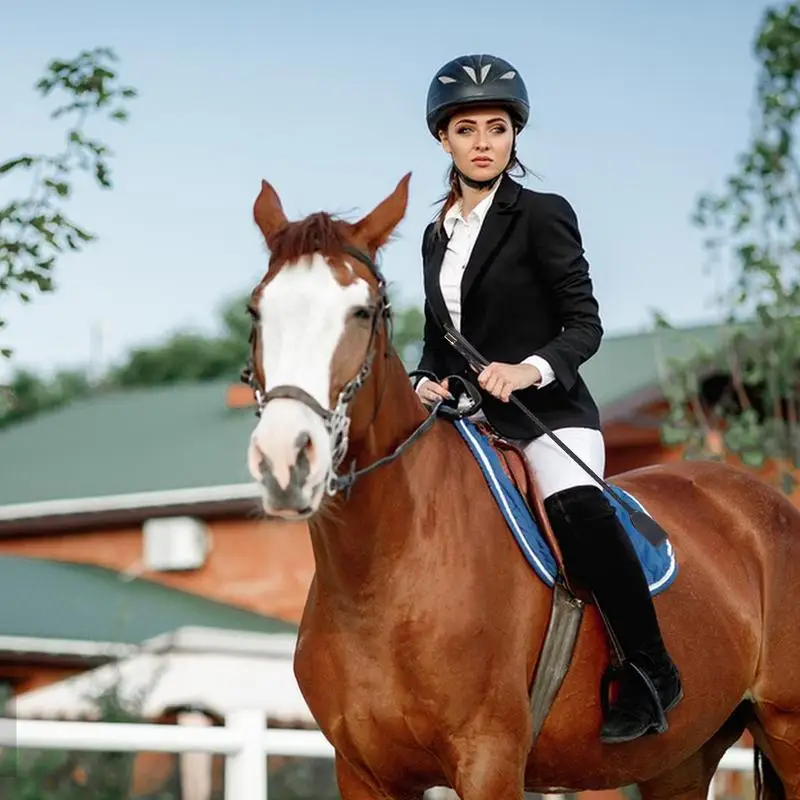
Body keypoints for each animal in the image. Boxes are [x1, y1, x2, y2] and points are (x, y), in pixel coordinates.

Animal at [240, 172, 800, 800]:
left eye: (362, 312)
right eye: (256, 311)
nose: (285, 459)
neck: (380, 574)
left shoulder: (489, 760)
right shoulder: (362, 773)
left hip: (788, 728)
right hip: (680, 759)